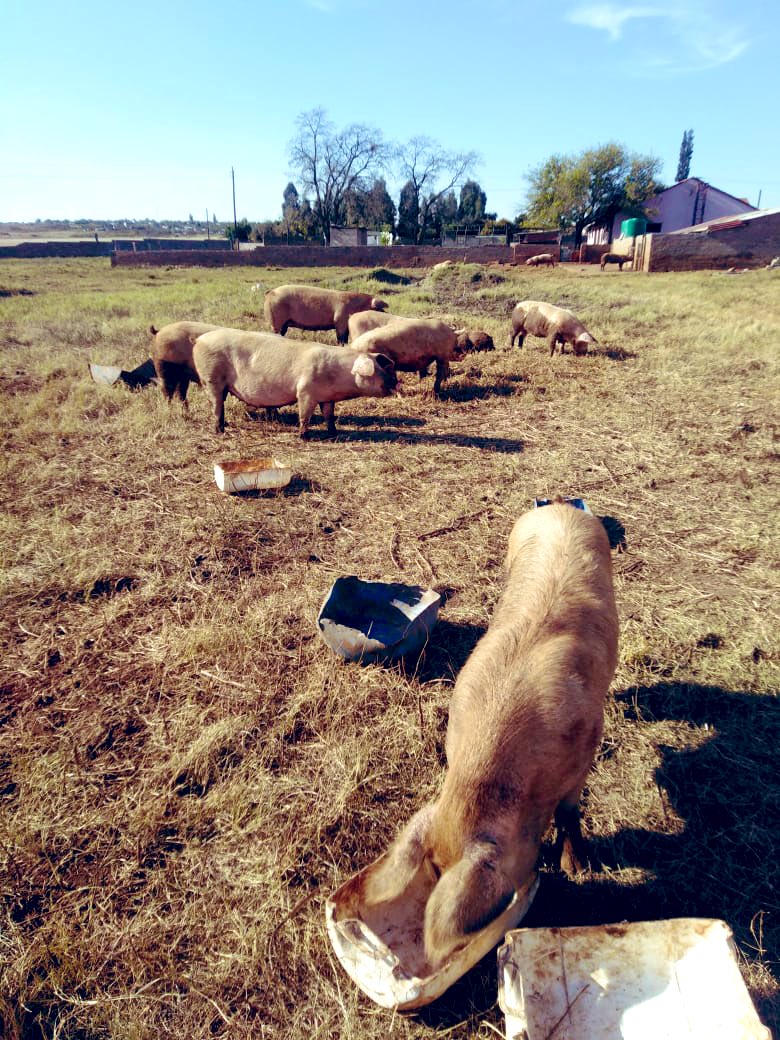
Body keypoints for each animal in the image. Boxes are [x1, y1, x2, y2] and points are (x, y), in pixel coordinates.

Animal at [191, 328, 397, 436]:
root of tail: (199, 339)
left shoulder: (328, 397)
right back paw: (219, 430)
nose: (396, 383)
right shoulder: (305, 391)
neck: (338, 374)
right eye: (380, 370)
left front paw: (333, 433)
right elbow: (305, 415)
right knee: (217, 405)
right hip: (211, 377)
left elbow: (329, 415)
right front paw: (302, 436)